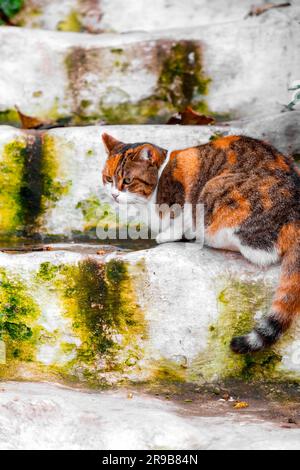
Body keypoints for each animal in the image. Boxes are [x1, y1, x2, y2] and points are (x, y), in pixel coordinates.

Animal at [102, 132, 300, 352]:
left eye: (127, 180)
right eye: (108, 179)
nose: (114, 194)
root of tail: (295, 213)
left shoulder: (184, 189)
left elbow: (180, 219)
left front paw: (168, 235)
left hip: (215, 192)